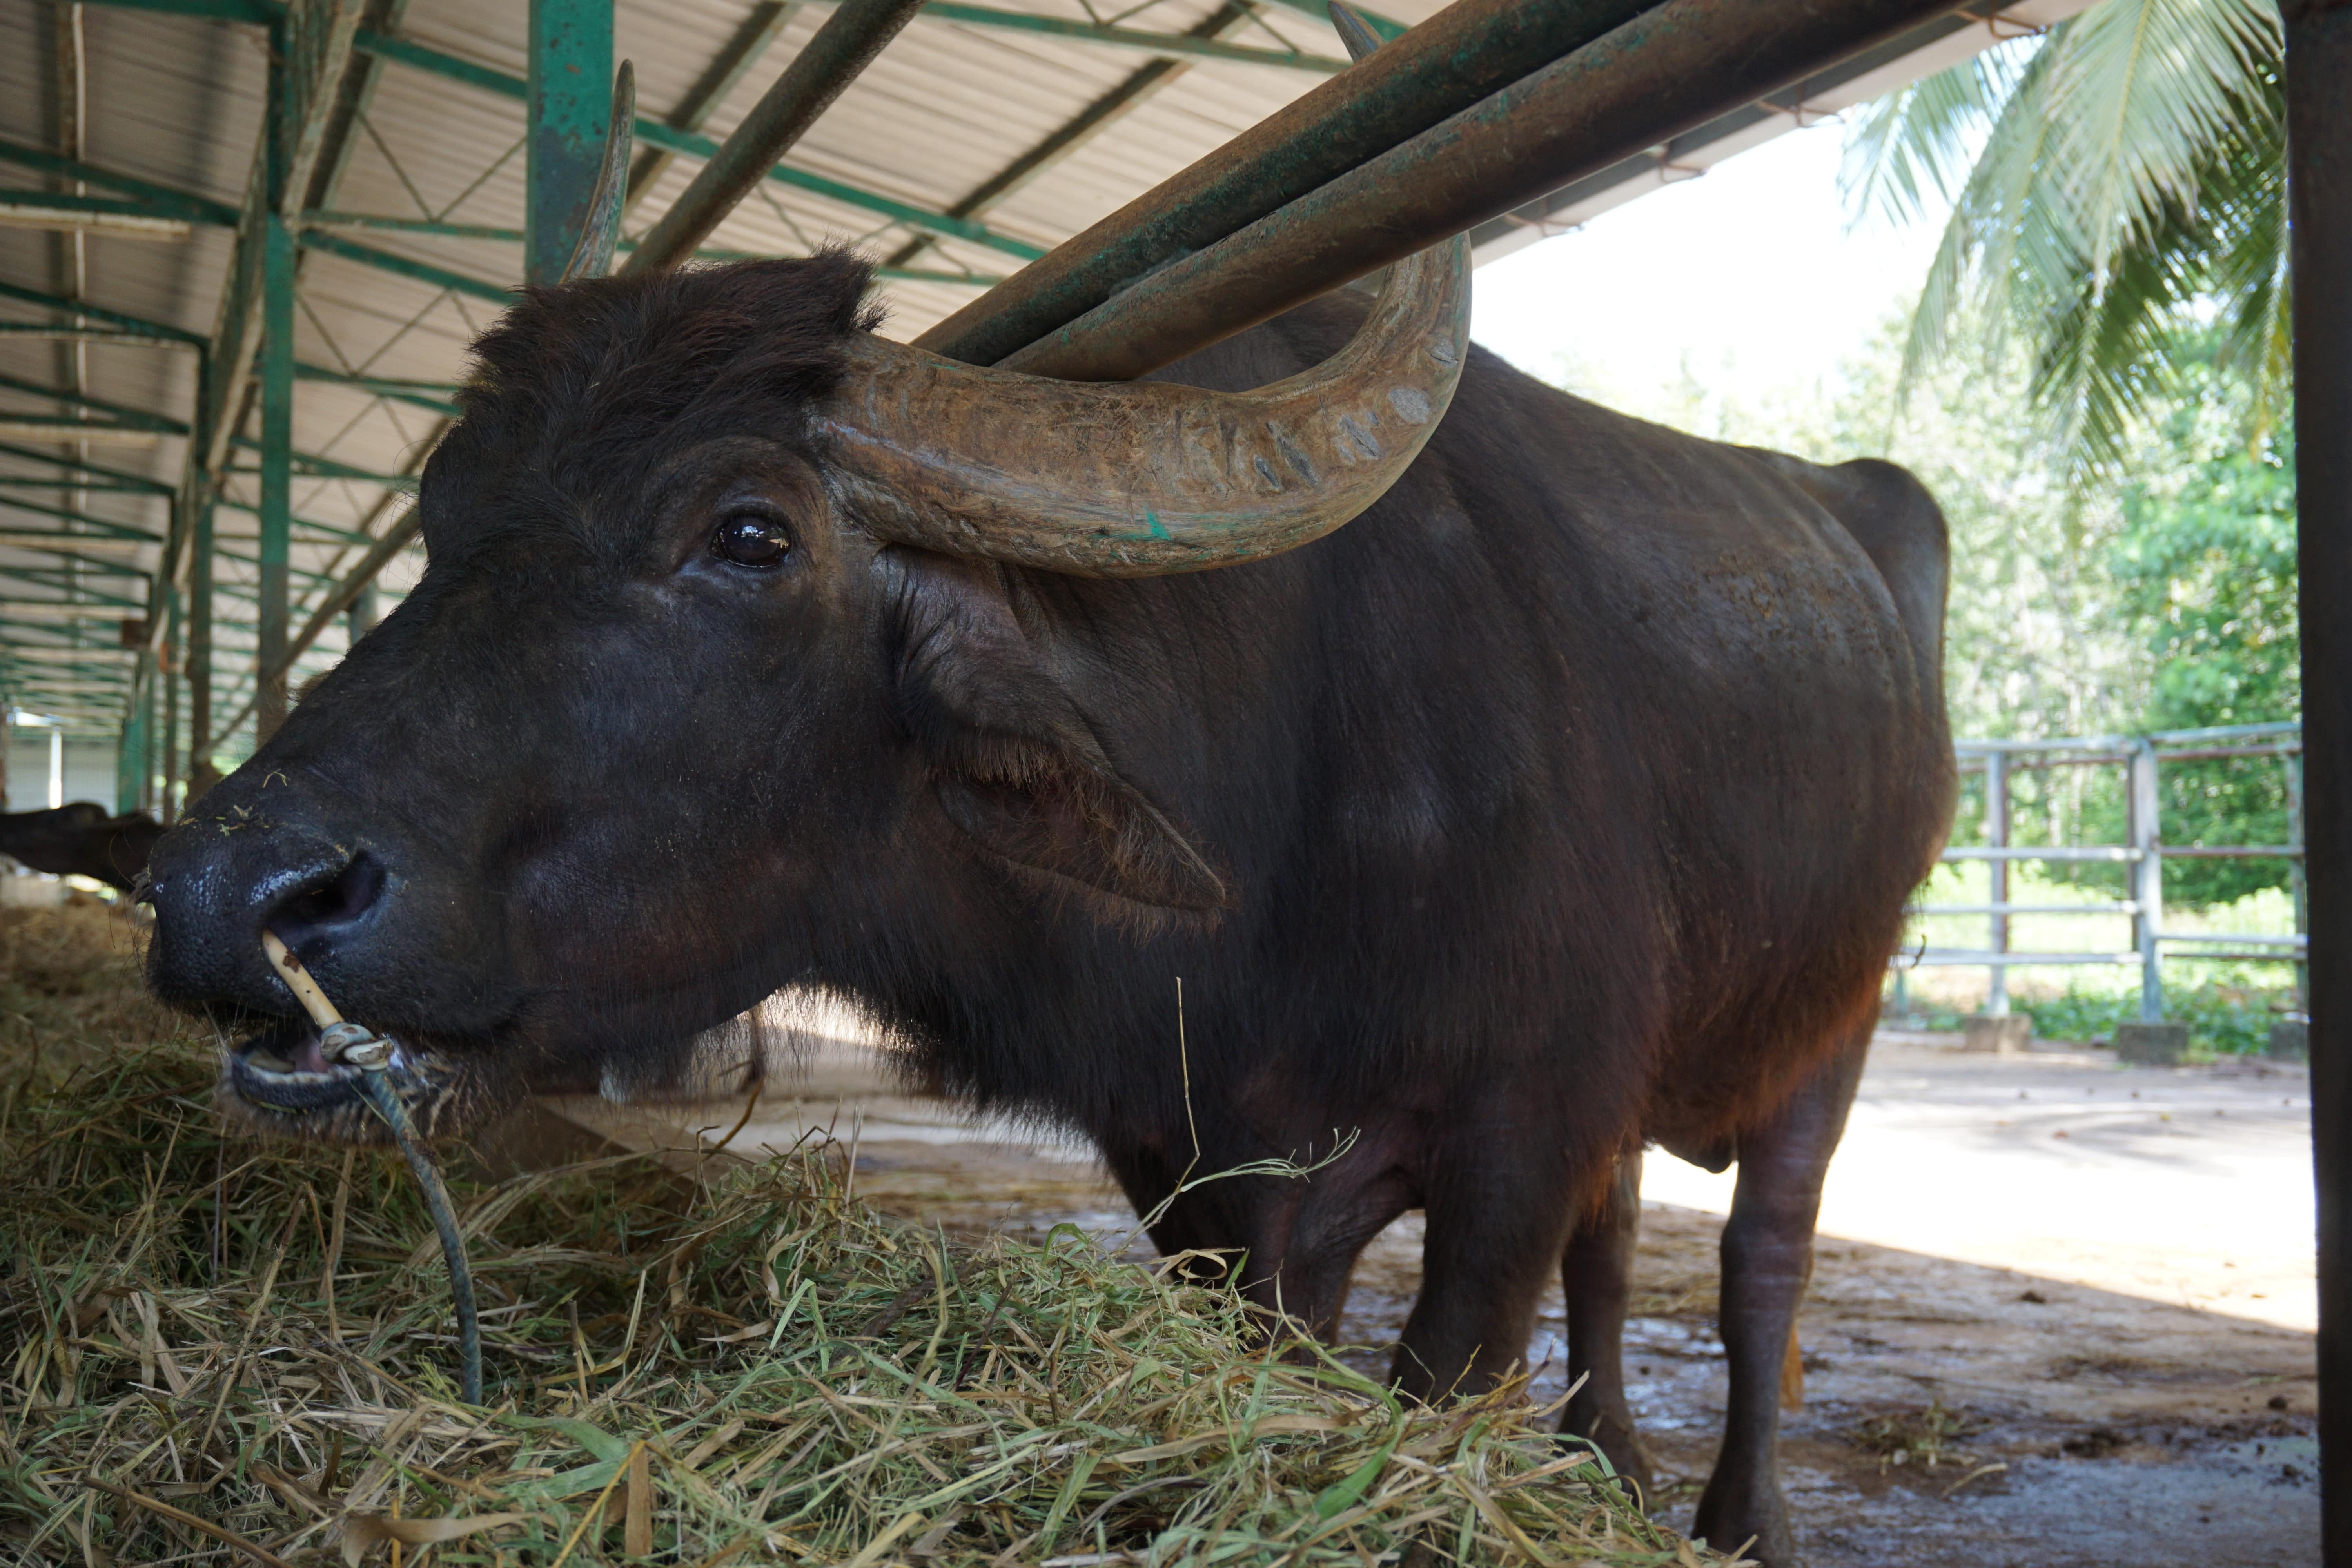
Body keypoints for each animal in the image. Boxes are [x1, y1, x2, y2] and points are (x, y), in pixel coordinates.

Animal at [147, 245, 1947, 1568]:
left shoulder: (1521, 1121)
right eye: (444, 518)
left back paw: (1739, 1512)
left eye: (749, 534)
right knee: (1622, 1236)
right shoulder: (1197, 1165)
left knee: (1760, 1257)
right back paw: (1606, 1461)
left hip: (1845, 1015)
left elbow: (1454, 1362)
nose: (232, 886)